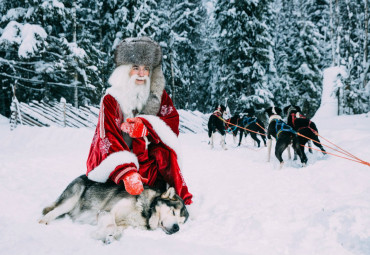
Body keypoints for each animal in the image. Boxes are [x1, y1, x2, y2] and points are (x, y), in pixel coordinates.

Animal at [39, 175, 189, 243]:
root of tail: (83, 175)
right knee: (53, 211)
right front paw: (98, 235)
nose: (177, 228)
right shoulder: (106, 212)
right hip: (70, 200)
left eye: (181, 222)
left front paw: (111, 237)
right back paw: (43, 222)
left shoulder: (124, 224)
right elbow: (111, 225)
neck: (145, 210)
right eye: (173, 212)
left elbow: (117, 231)